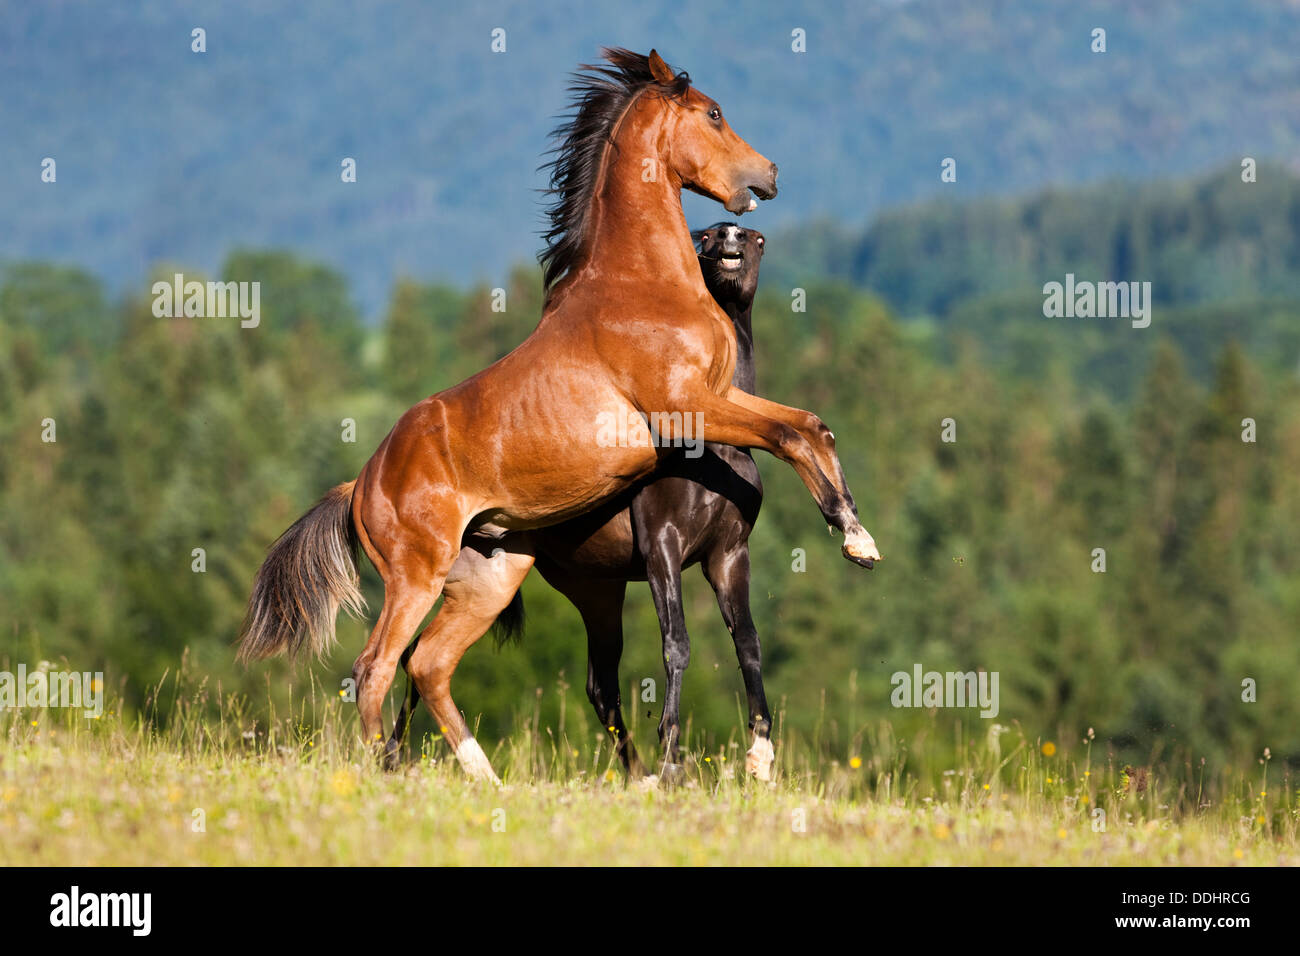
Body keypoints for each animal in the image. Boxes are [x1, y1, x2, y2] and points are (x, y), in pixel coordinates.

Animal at [390, 227, 774, 780]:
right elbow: (676, 645)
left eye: (755, 237)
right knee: (413, 656)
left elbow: (747, 642)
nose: (727, 239)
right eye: (702, 236)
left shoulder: (727, 555)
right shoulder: (663, 549)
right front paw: (672, 756)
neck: (714, 455)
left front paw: (760, 754)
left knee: (599, 687)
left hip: (597, 592)